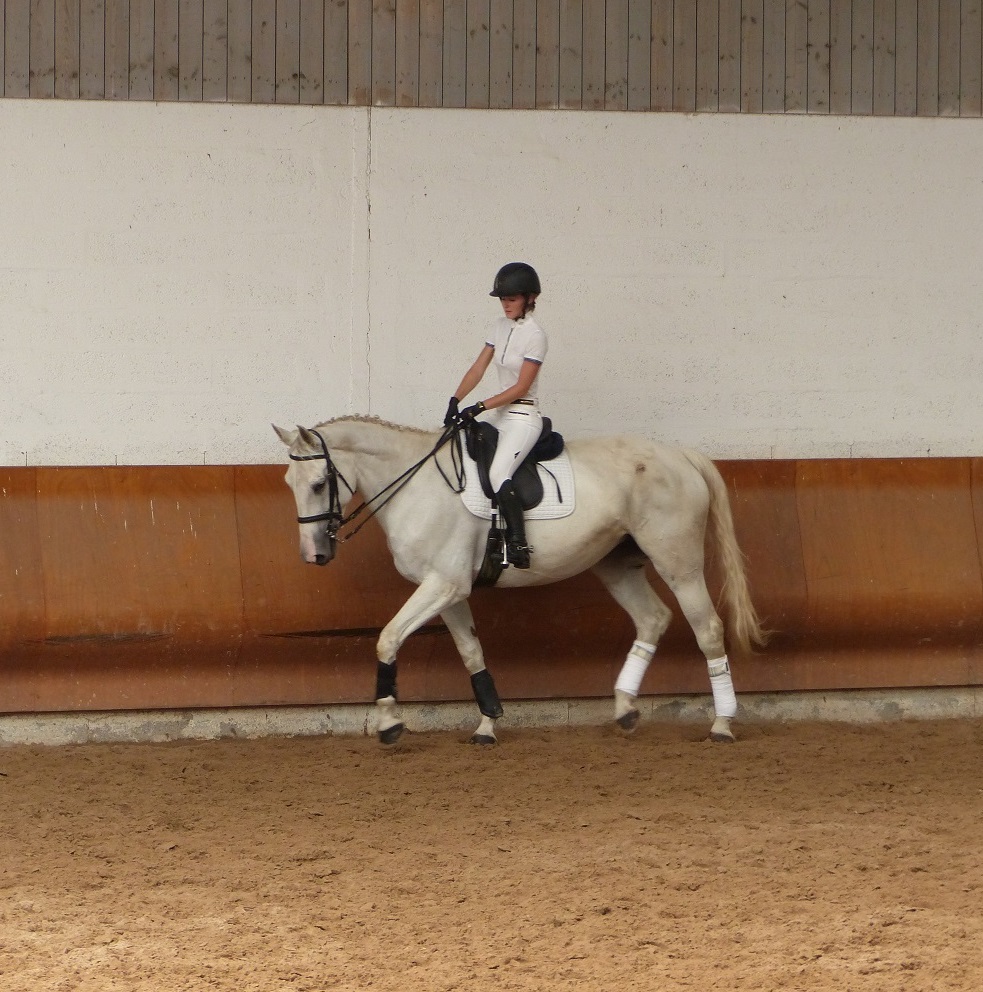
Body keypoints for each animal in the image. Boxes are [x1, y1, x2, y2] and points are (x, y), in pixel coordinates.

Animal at [274, 416, 768, 744]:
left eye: (318, 483)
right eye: (289, 483)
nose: (315, 555)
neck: (415, 485)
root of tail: (679, 455)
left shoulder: (444, 585)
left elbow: (389, 637)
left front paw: (390, 722)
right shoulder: (448, 590)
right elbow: (471, 651)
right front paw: (488, 723)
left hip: (678, 562)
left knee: (707, 629)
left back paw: (722, 724)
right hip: (616, 565)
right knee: (652, 619)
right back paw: (626, 708)